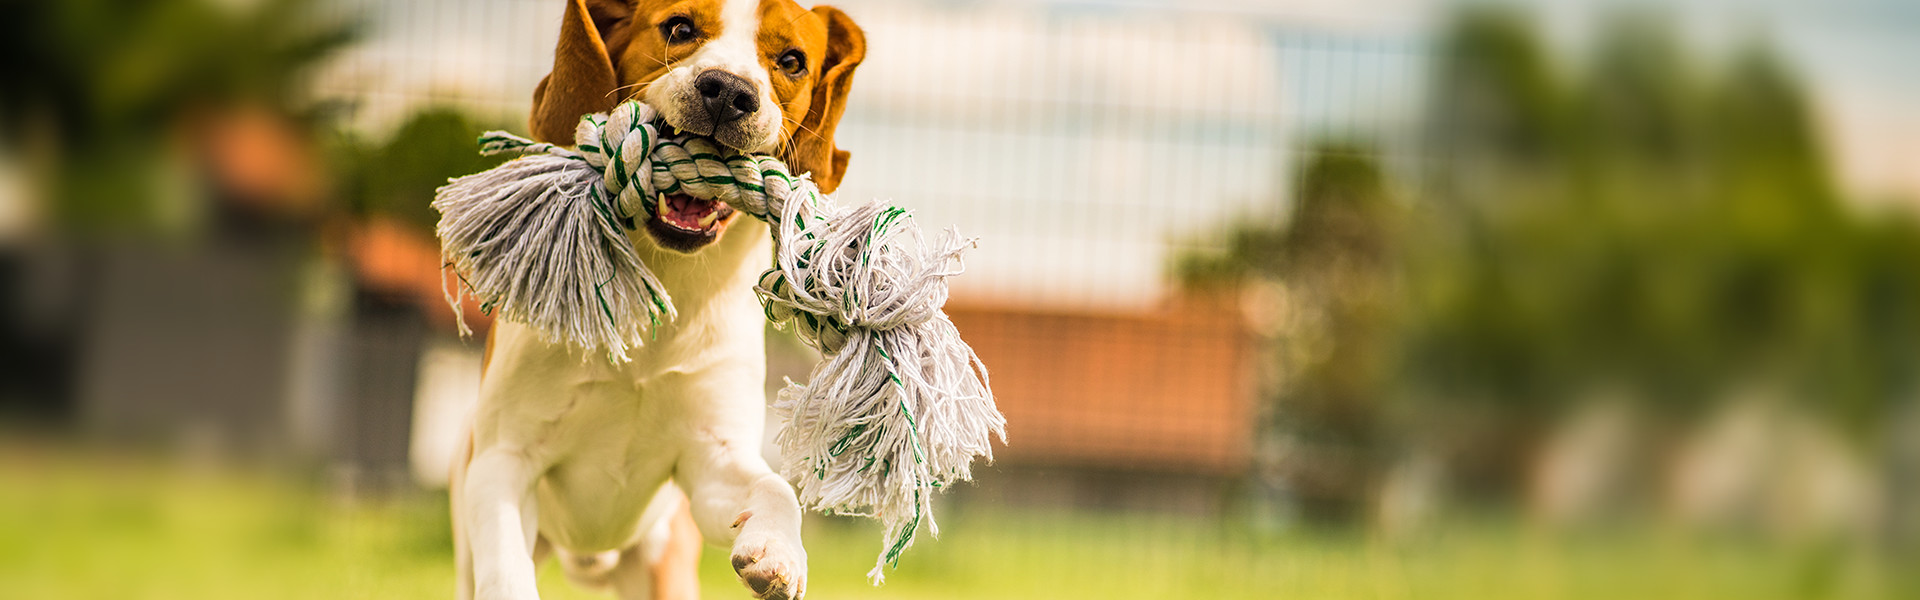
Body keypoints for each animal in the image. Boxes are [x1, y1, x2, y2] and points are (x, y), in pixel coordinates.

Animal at [449, 1, 864, 600]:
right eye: (680, 28)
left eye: (791, 61)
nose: (728, 91)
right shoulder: (503, 461)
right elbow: (506, 573)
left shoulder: (710, 462)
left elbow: (775, 489)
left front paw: (778, 551)